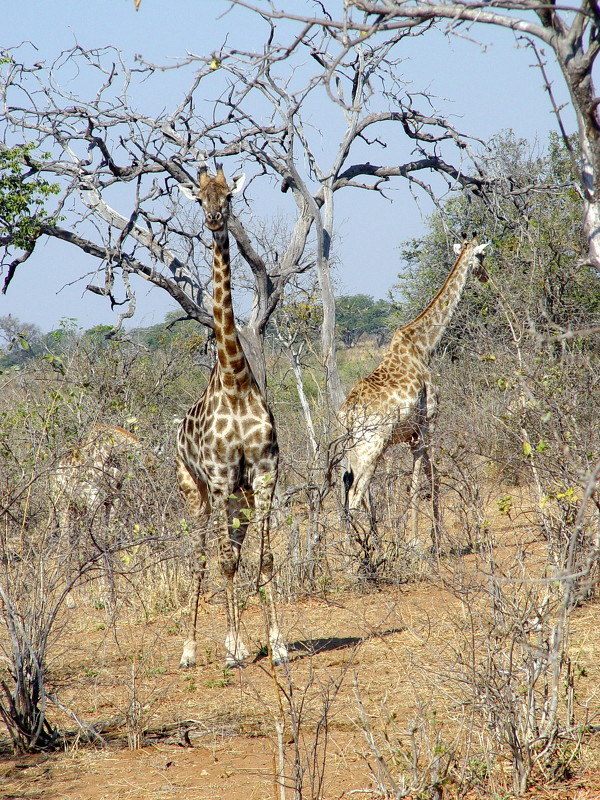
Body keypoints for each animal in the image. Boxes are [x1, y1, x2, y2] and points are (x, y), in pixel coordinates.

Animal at [338, 234, 488, 552]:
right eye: (481, 257)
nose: (485, 276)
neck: (424, 345)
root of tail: (347, 415)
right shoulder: (427, 422)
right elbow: (421, 482)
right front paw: (419, 542)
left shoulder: (411, 433)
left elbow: (430, 478)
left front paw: (432, 538)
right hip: (371, 447)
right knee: (355, 496)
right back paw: (356, 557)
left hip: (351, 451)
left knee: (345, 494)